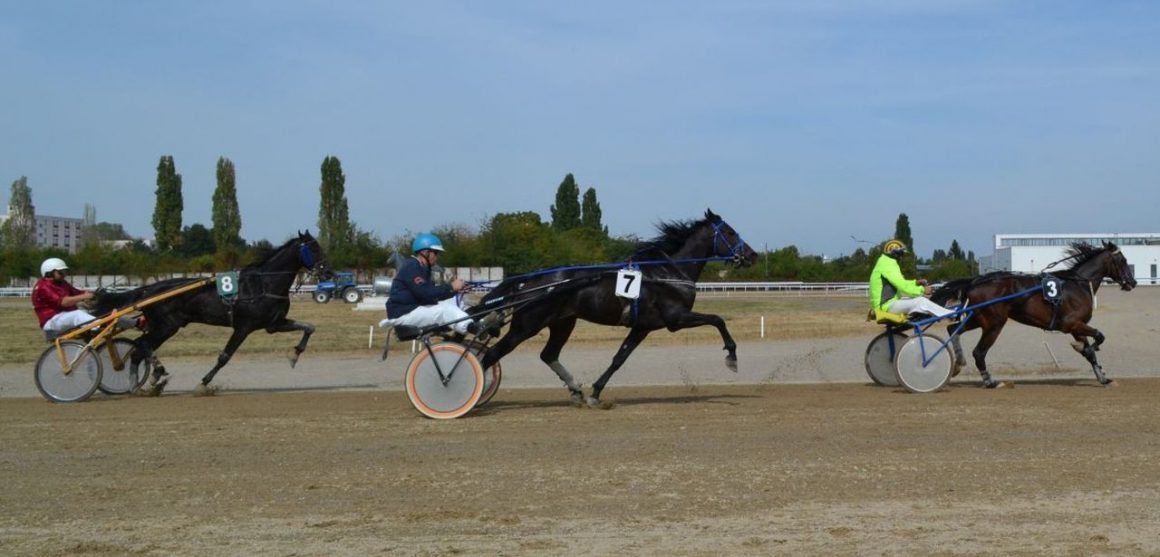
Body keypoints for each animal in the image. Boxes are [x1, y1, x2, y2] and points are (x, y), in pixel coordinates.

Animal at [91, 230, 331, 392]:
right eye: (314, 248)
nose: (329, 272)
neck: (263, 284)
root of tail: (149, 290)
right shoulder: (244, 327)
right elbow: (225, 356)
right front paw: (204, 383)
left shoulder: (273, 324)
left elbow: (309, 327)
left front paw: (295, 355)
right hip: (166, 326)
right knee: (141, 347)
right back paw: (151, 375)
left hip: (164, 327)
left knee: (139, 349)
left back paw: (141, 385)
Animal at [470, 208, 760, 403]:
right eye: (731, 232)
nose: (752, 255)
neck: (668, 271)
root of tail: (527, 281)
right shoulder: (676, 318)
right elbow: (718, 319)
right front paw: (732, 357)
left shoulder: (642, 327)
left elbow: (619, 358)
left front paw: (596, 392)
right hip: (527, 325)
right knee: (492, 354)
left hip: (563, 322)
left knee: (548, 354)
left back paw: (576, 389)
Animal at [928, 241, 1136, 389]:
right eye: (1123, 261)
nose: (1132, 282)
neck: (1077, 284)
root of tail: (975, 281)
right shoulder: (1071, 324)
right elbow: (1099, 337)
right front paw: (1084, 349)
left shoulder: (1077, 327)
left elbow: (1092, 353)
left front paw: (1104, 378)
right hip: (994, 323)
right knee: (979, 352)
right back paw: (991, 382)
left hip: (979, 318)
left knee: (953, 328)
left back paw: (958, 363)